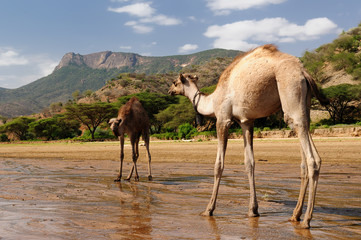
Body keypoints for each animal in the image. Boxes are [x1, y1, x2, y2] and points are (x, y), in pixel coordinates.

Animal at [167, 43, 328, 229]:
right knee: (305, 150)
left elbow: (218, 165)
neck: (212, 101)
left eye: (175, 82)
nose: (169, 90)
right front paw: (253, 210)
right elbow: (249, 163)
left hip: (291, 90)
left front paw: (208, 209)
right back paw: (295, 215)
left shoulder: (223, 119)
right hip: (305, 104)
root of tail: (304, 73)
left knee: (312, 158)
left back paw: (307, 220)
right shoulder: (246, 122)